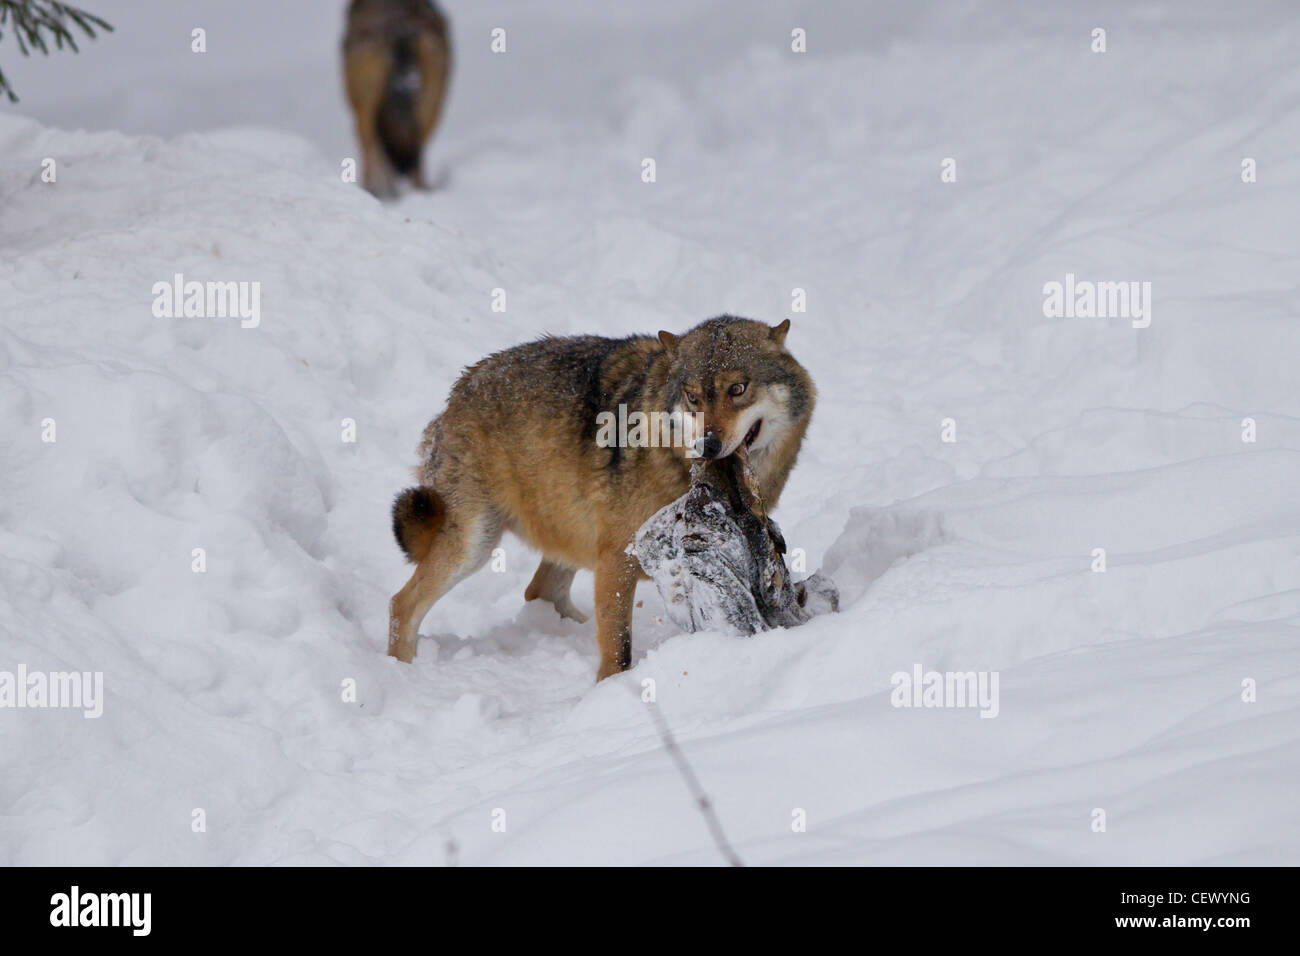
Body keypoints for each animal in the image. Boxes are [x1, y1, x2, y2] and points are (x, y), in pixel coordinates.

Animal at [387, 316, 811, 681]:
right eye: (693, 398)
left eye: (737, 389)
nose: (707, 444)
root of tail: (459, 389)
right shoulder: (617, 558)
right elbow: (618, 649)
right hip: (475, 544)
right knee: (401, 604)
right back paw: (403, 673)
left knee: (539, 592)